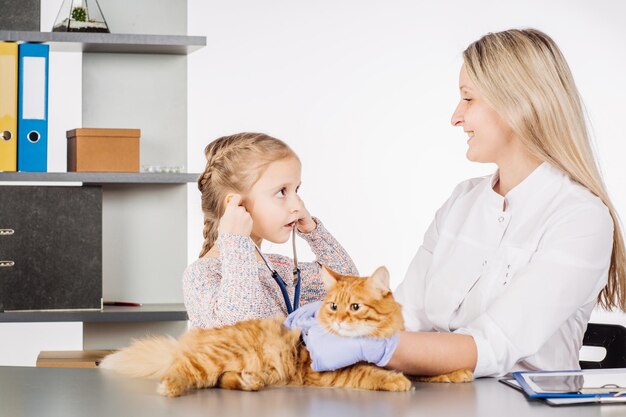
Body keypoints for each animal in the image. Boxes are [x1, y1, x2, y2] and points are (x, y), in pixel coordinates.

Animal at [98, 264, 468, 394]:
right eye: (332, 307)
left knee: (222, 380)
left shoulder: (398, 352)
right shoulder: (325, 372)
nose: (337, 321)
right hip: (213, 358)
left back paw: (250, 382)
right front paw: (394, 381)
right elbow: (368, 372)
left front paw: (458, 371)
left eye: (355, 307)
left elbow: (423, 368)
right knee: (181, 371)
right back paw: (171, 388)